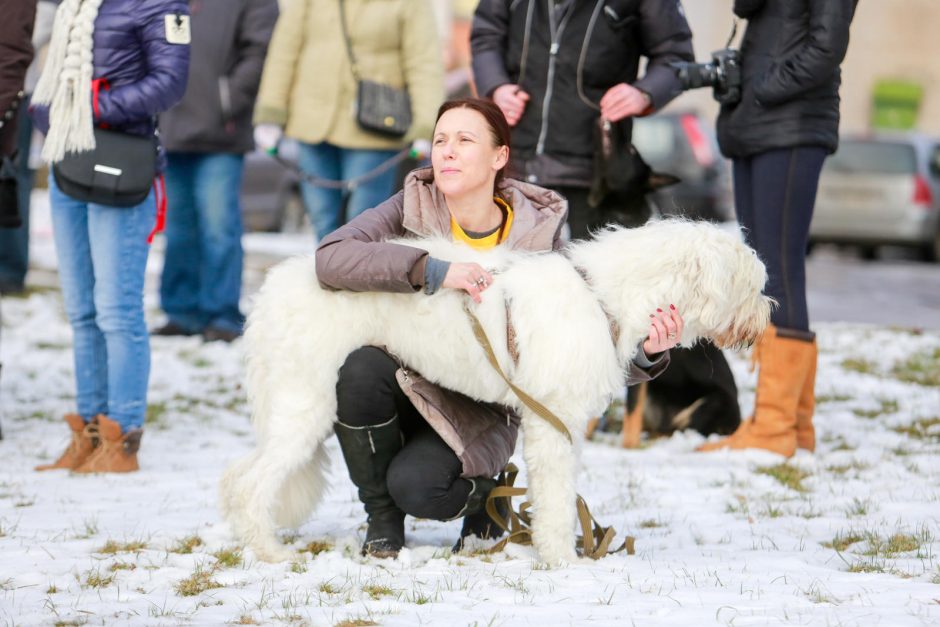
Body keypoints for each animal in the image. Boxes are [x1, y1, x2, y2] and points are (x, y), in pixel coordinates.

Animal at [220, 220, 772, 564]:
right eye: (750, 282)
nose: (768, 316)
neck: (602, 297)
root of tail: (271, 292)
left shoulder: (561, 423)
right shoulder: (553, 422)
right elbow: (556, 498)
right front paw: (561, 559)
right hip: (304, 401)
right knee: (247, 482)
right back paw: (268, 551)